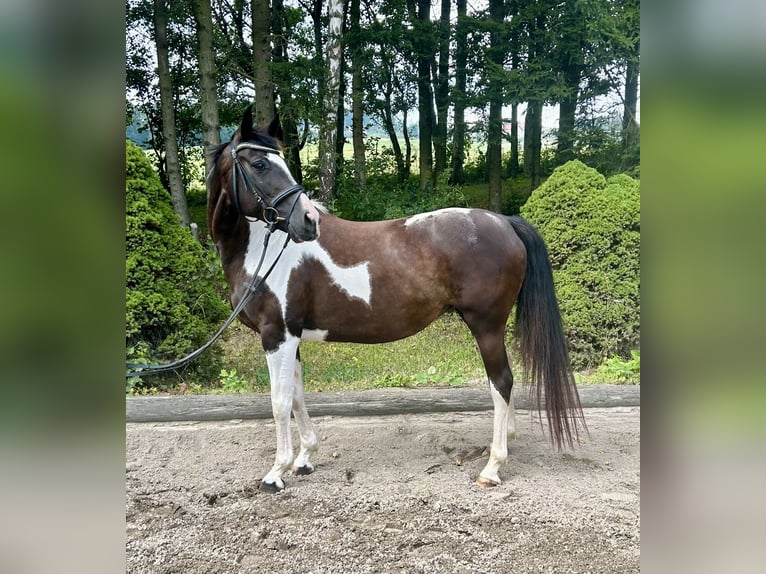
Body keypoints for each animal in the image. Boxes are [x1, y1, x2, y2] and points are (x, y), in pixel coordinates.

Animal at [207, 108, 584, 496]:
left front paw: (276, 473)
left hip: (487, 326)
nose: (308, 221)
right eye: (259, 163)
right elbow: (297, 395)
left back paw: (492, 467)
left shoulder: (276, 335)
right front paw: (304, 459)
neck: (266, 251)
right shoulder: (290, 336)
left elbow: (279, 402)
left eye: (276, 162)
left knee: (502, 382)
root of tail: (504, 221)